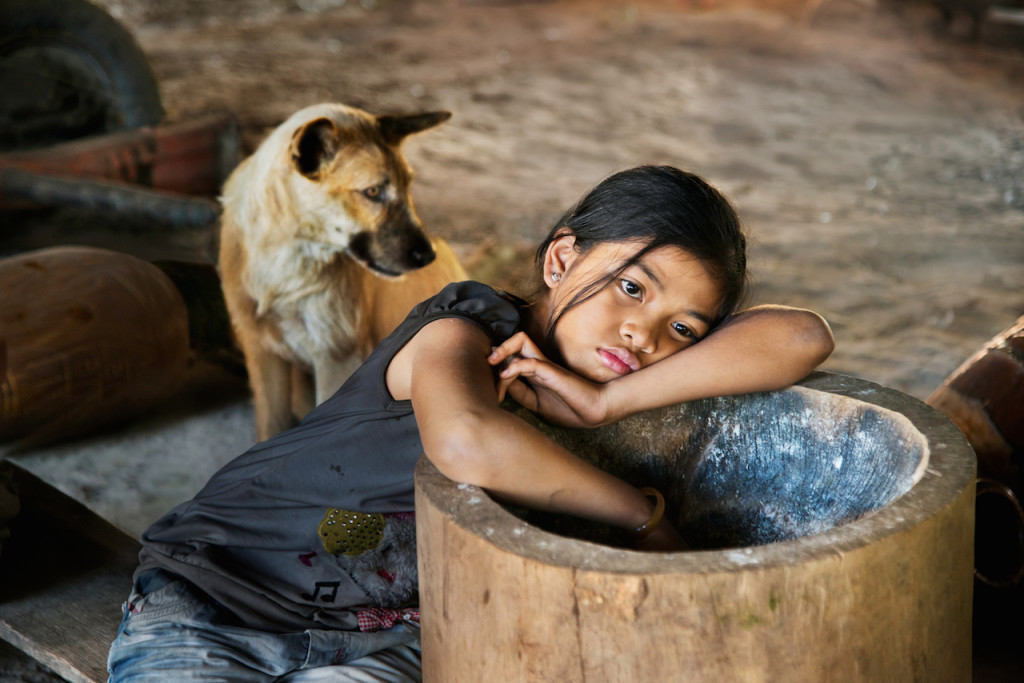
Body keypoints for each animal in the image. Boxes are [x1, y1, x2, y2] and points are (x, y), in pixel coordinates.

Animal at [222, 102, 468, 444]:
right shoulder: (263, 353)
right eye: (373, 191)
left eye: (408, 186)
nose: (427, 255)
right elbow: (270, 428)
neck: (287, 265)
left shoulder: (336, 355)